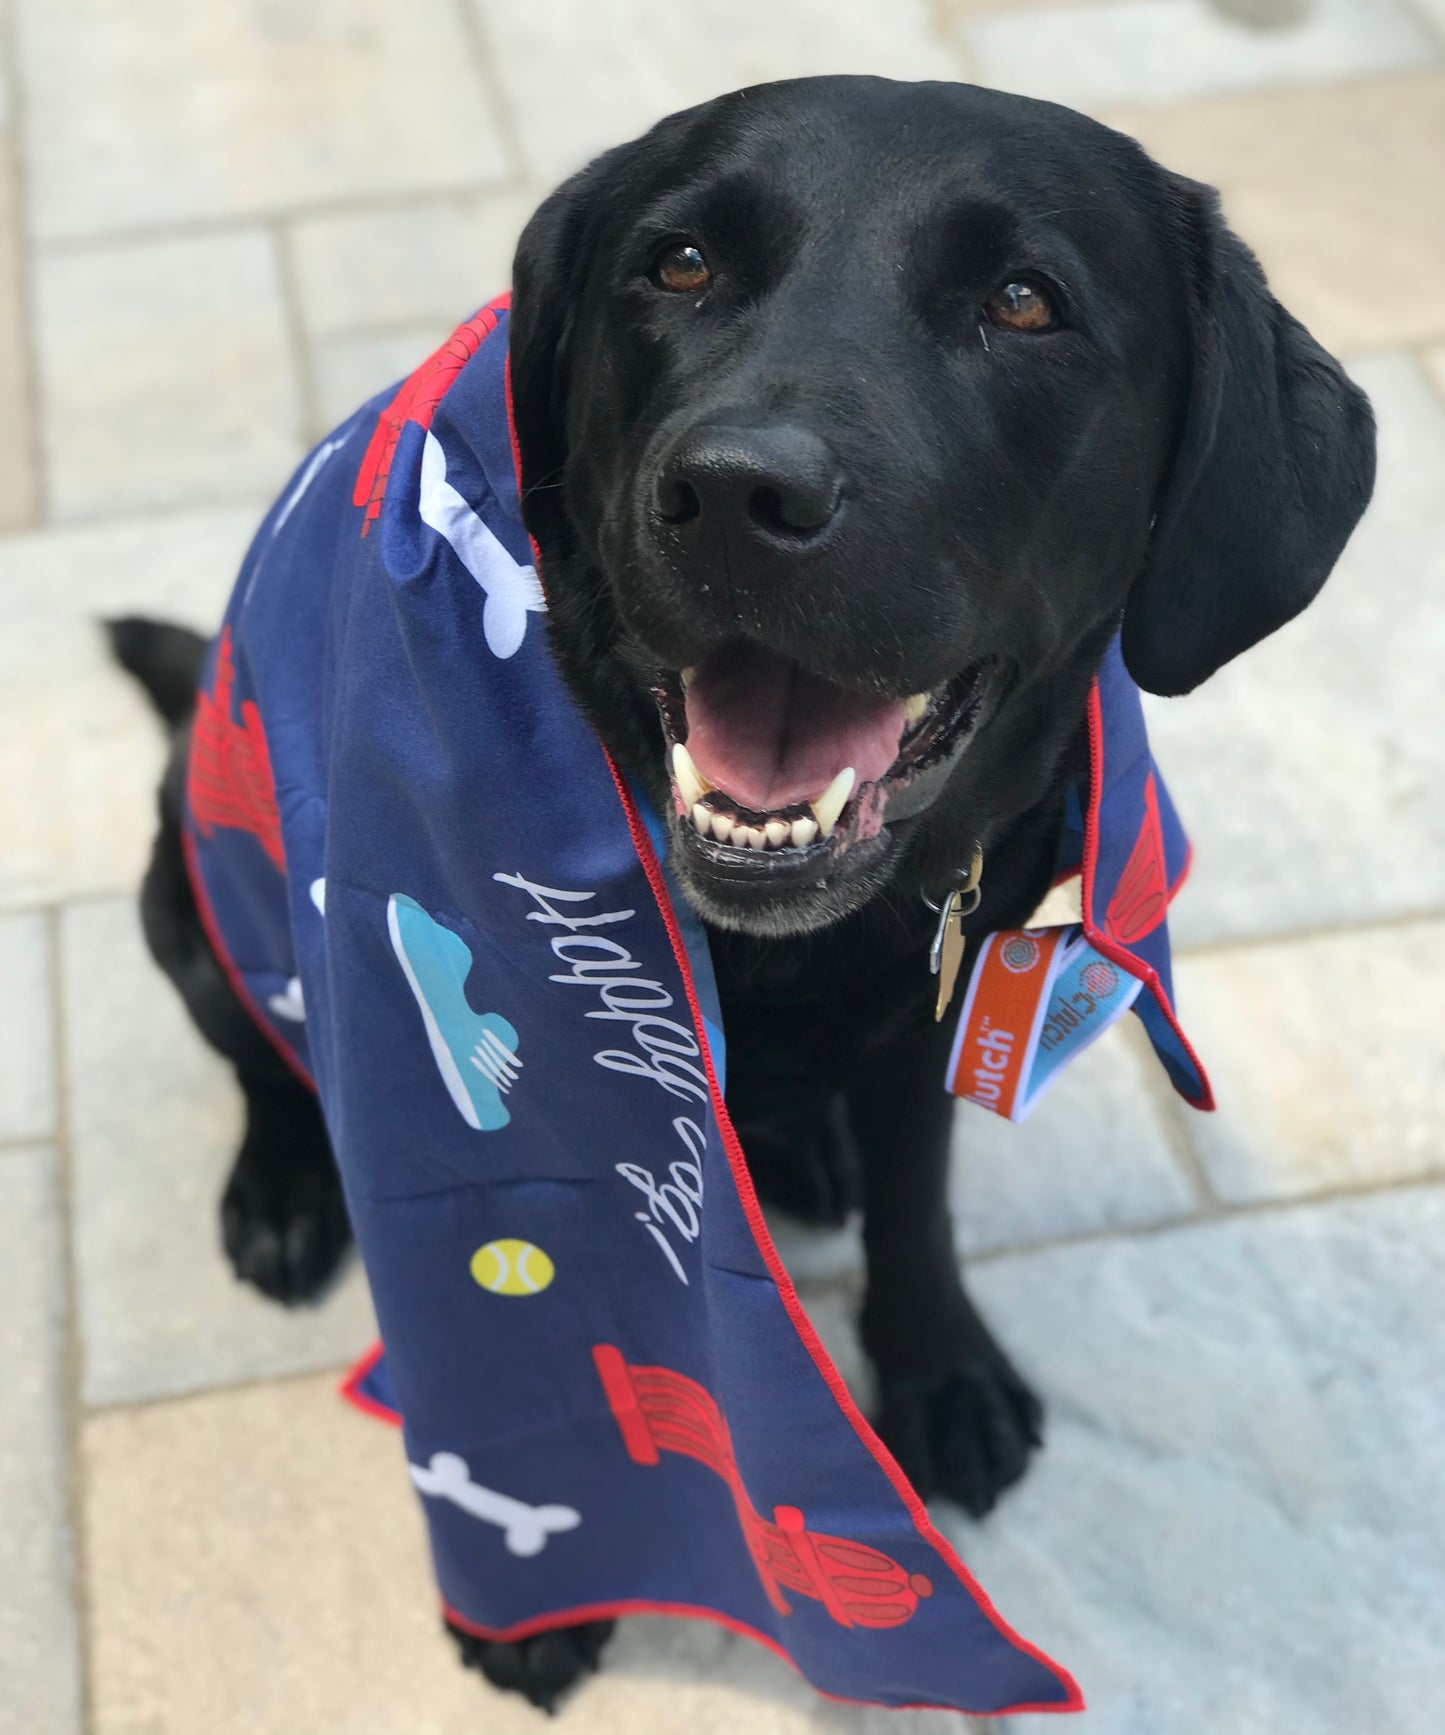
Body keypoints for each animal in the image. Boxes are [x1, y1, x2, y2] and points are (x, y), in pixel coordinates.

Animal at [110, 78, 1366, 1707]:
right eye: (680, 263)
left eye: (1024, 300)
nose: (732, 492)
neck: (775, 954)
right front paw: (537, 1585)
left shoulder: (933, 1007)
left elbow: (917, 1202)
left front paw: (939, 1368)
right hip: (184, 887)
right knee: (263, 1059)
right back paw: (279, 1186)